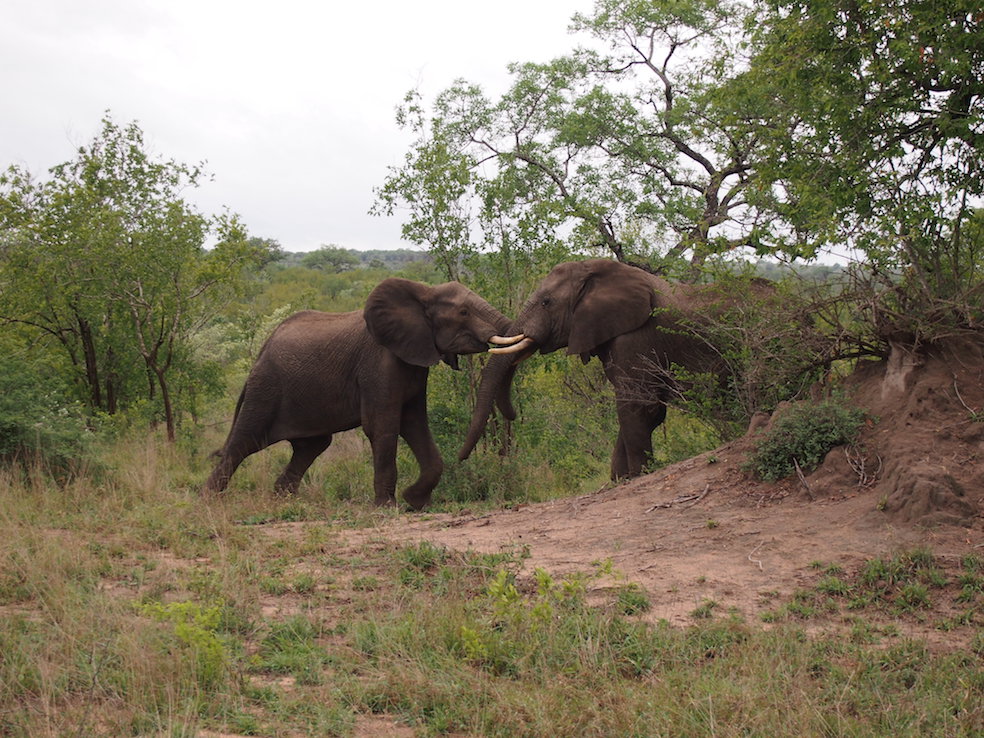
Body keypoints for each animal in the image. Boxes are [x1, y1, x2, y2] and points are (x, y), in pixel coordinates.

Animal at [203, 274, 520, 508]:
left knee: (312, 446)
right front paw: (387, 507)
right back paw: (209, 501)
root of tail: (262, 350)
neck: (422, 293)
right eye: (464, 312)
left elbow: (415, 424)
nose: (463, 458)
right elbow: (383, 426)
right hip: (266, 387)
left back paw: (283, 500)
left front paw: (415, 502)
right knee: (245, 441)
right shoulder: (378, 363)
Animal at [458, 258, 772, 478]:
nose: (460, 460)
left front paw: (636, 476)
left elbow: (638, 407)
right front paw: (620, 479)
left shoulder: (636, 336)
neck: (597, 273)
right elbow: (639, 411)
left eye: (547, 302)